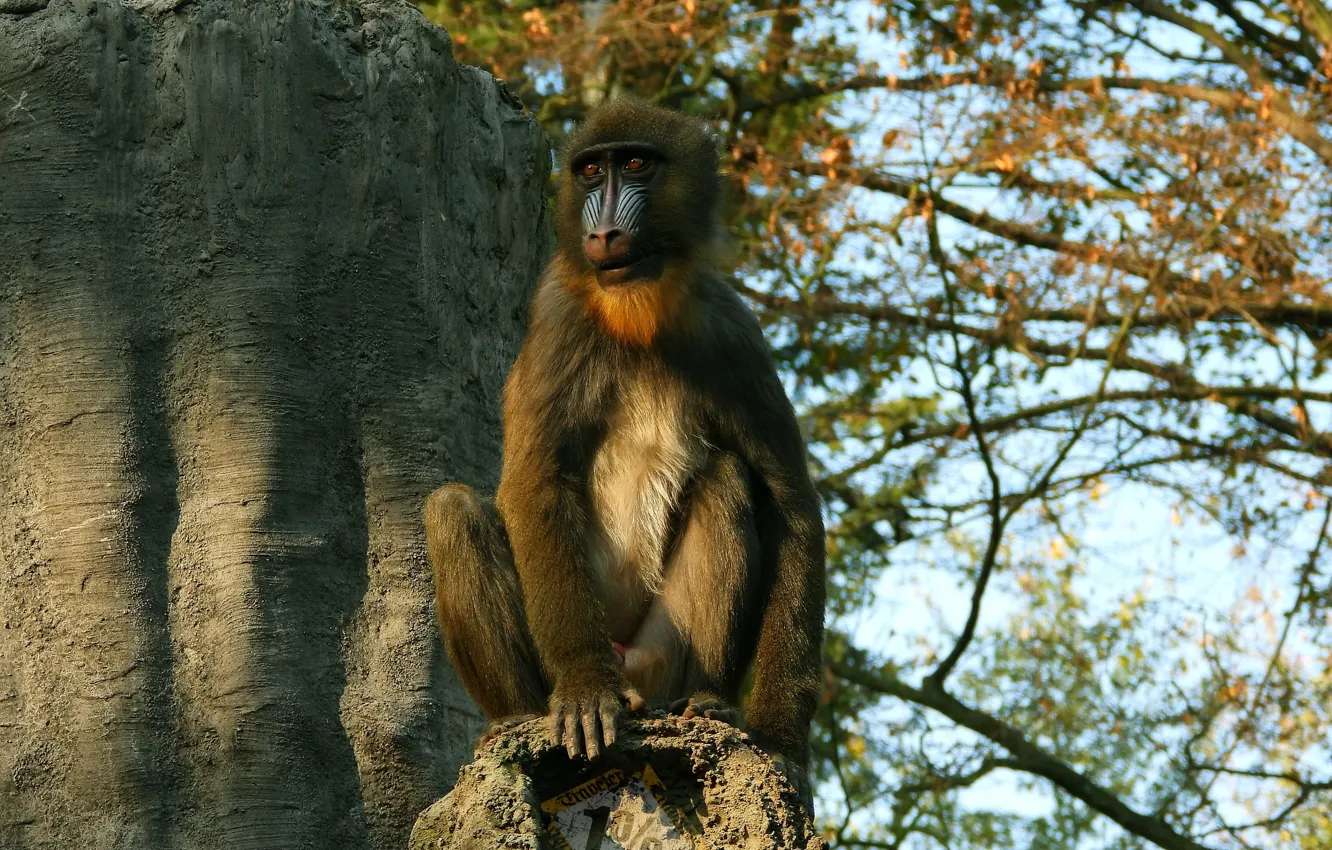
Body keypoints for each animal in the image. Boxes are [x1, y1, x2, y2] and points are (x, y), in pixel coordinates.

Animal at [424, 98, 825, 782]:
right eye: (591, 172)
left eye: (636, 164)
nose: (605, 231)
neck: (638, 313)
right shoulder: (559, 321)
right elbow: (536, 482)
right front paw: (587, 689)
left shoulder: (733, 335)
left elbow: (789, 504)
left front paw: (779, 743)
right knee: (453, 510)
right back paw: (516, 721)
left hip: (659, 659)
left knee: (727, 480)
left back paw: (707, 704)